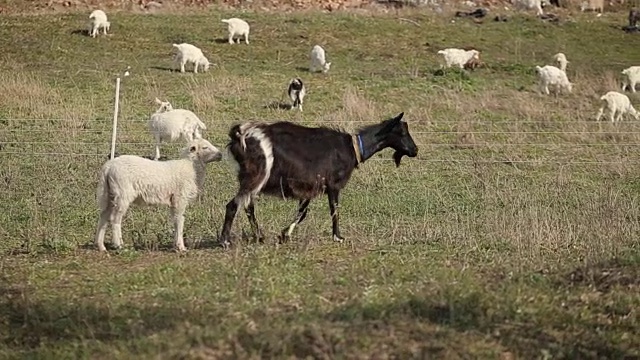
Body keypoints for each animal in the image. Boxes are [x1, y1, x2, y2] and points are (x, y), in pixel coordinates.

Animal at [94, 139, 224, 253]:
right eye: (205, 147)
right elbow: (180, 220)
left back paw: (101, 246)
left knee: (104, 217)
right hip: (122, 193)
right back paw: (119, 245)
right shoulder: (179, 198)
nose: (220, 155)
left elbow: (175, 220)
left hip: (109, 194)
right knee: (115, 218)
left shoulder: (173, 200)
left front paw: (175, 244)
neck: (190, 167)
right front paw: (181, 247)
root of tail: (108, 167)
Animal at [219, 112, 420, 248]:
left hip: (253, 179)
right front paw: (338, 237)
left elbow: (302, 212)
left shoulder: (312, 185)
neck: (353, 148)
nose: (415, 150)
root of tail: (240, 135)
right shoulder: (333, 185)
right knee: (234, 205)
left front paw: (284, 235)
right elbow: (334, 210)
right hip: (257, 175)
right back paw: (225, 241)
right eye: (402, 132)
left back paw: (259, 236)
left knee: (247, 205)